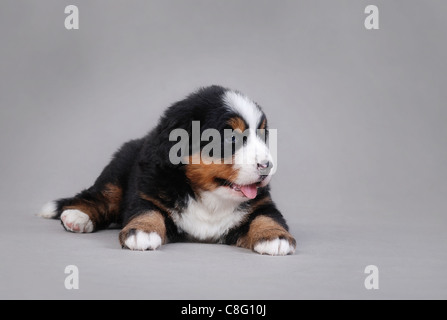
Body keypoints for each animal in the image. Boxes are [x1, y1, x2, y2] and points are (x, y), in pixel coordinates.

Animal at [39, 85, 298, 255]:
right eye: (230, 138)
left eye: (263, 135)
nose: (267, 167)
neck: (208, 197)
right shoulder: (147, 192)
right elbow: (147, 211)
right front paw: (142, 232)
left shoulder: (262, 203)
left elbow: (267, 216)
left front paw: (274, 236)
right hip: (115, 175)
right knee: (100, 198)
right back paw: (77, 216)